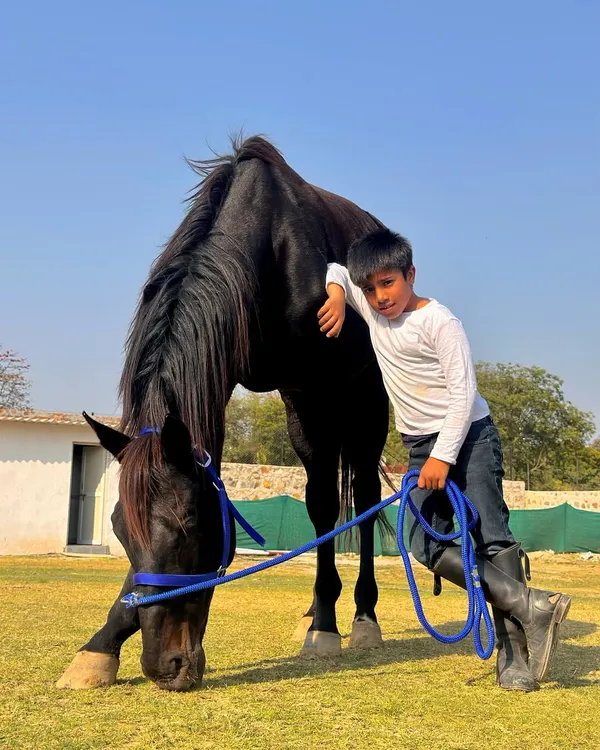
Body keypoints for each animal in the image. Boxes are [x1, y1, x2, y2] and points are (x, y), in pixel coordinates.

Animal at [57, 135, 394, 692]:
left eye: (190, 525)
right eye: (119, 529)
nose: (165, 666)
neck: (268, 247)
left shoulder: (318, 387)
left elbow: (331, 505)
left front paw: (329, 627)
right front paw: (97, 650)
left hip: (364, 405)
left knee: (360, 498)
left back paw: (357, 619)